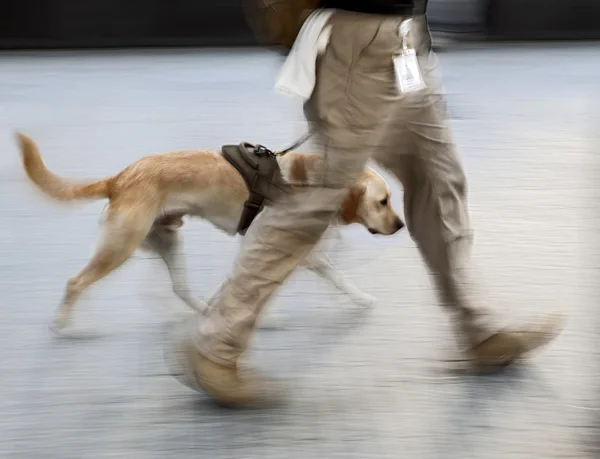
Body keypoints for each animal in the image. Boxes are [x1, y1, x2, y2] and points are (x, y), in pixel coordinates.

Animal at [16, 133, 404, 334]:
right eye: (383, 202)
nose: (401, 226)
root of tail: (120, 177)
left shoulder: (301, 252)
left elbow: (335, 277)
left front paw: (358, 298)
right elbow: (270, 287)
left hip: (167, 241)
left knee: (180, 289)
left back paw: (206, 310)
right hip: (119, 247)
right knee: (75, 283)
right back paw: (63, 324)